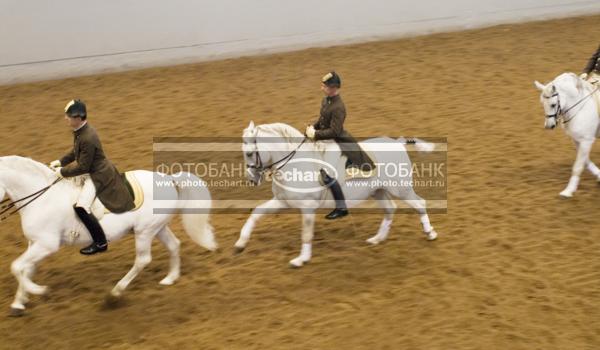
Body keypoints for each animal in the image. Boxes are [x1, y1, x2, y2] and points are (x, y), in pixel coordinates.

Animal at [0, 155, 216, 314]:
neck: (42, 198)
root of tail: (169, 180)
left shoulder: (47, 245)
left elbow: (16, 267)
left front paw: (39, 290)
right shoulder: (34, 243)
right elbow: (24, 269)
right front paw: (19, 303)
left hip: (144, 232)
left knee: (143, 260)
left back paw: (114, 294)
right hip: (157, 228)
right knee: (174, 245)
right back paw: (170, 278)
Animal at [236, 121, 440, 266]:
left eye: (249, 153)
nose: (251, 179)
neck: (295, 164)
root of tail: (397, 143)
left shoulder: (307, 207)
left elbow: (306, 233)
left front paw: (301, 260)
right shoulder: (282, 201)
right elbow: (256, 213)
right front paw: (240, 245)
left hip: (401, 188)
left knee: (419, 204)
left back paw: (430, 233)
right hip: (378, 191)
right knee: (390, 209)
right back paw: (377, 239)